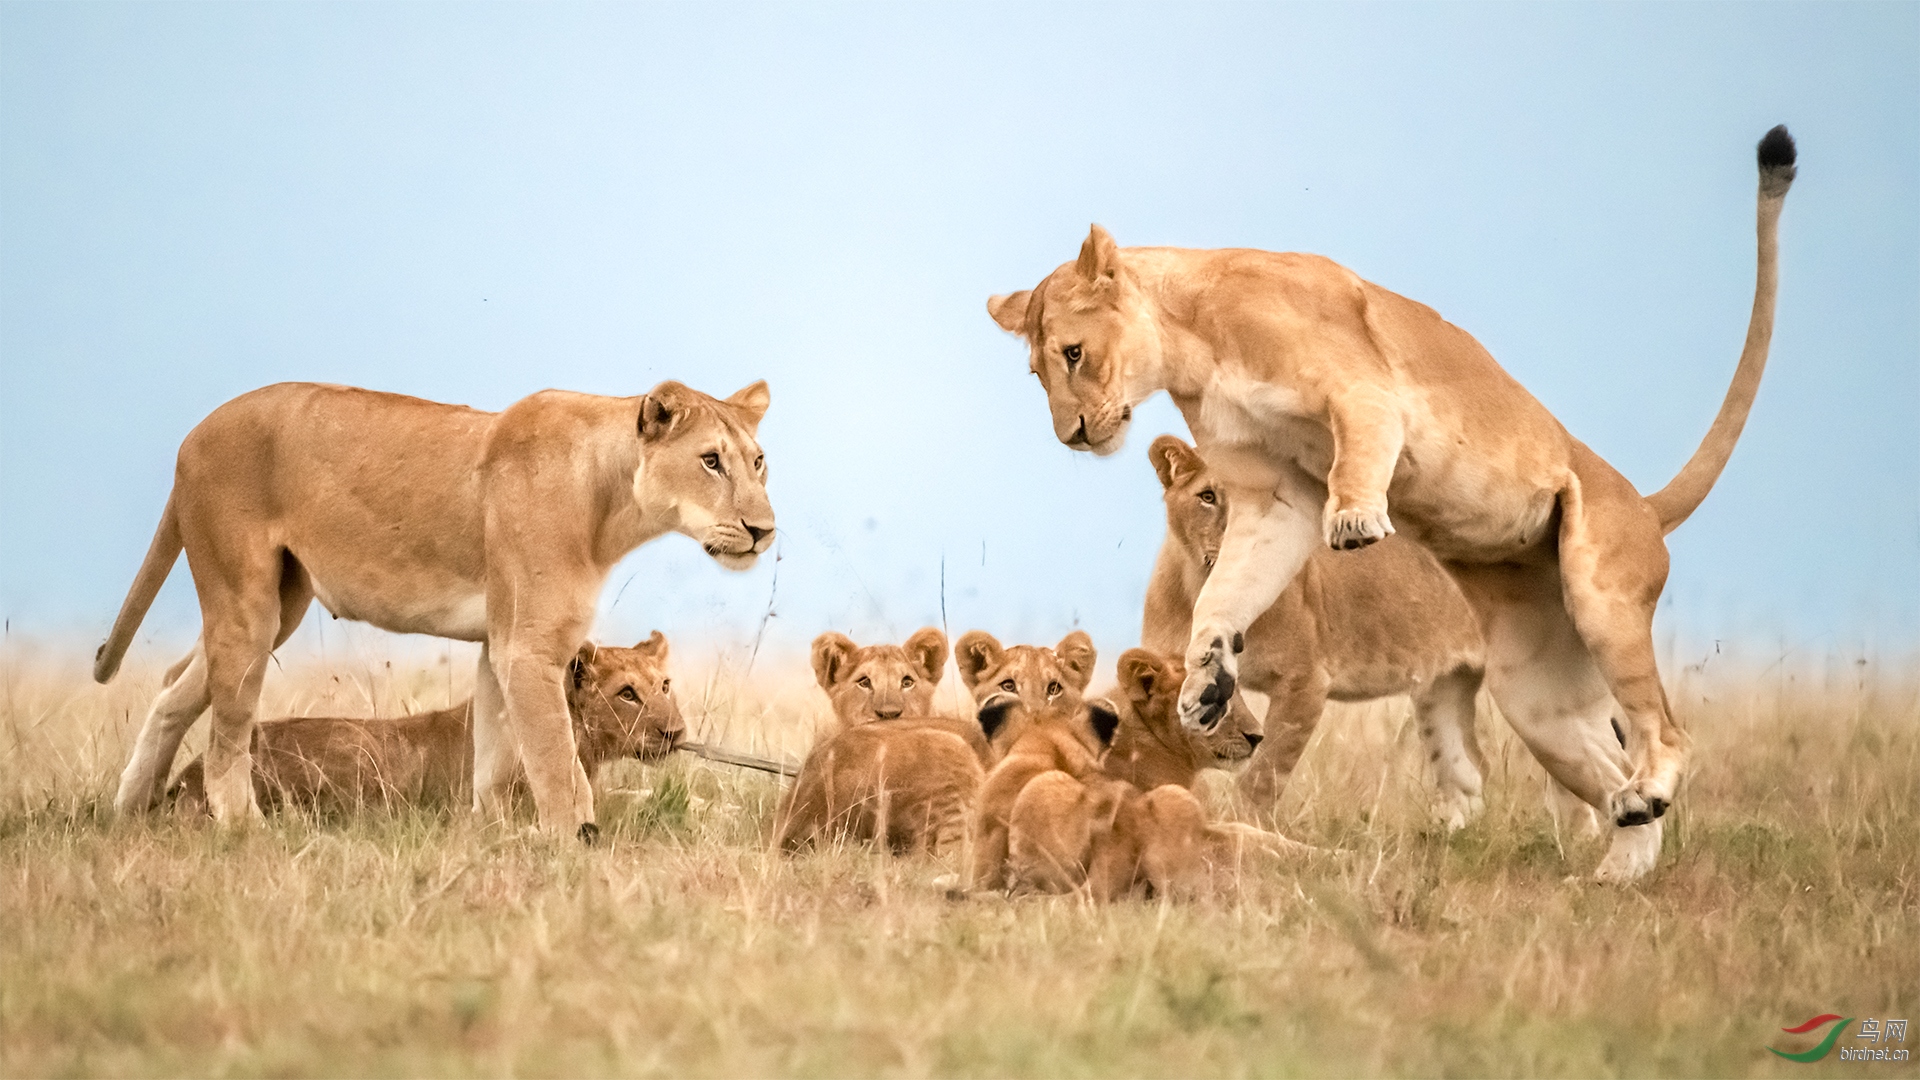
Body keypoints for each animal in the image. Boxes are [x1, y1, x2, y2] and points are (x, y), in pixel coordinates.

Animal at [1144, 428, 1489, 822]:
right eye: (1208, 497)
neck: (1206, 591)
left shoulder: (1305, 681)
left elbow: (1263, 774)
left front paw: (1244, 829)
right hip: (1442, 688)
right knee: (1467, 768)